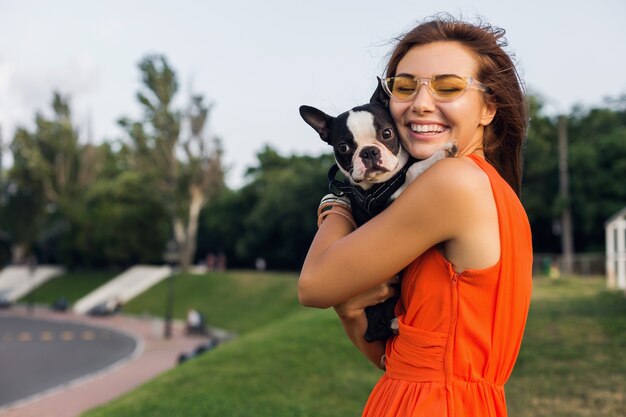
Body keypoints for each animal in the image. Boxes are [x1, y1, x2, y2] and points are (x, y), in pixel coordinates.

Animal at [298, 79, 454, 342]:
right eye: (343, 147)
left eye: (387, 133)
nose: (369, 151)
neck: (384, 182)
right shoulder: (383, 208)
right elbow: (413, 172)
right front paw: (443, 150)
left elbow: (412, 169)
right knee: (371, 332)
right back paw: (395, 325)